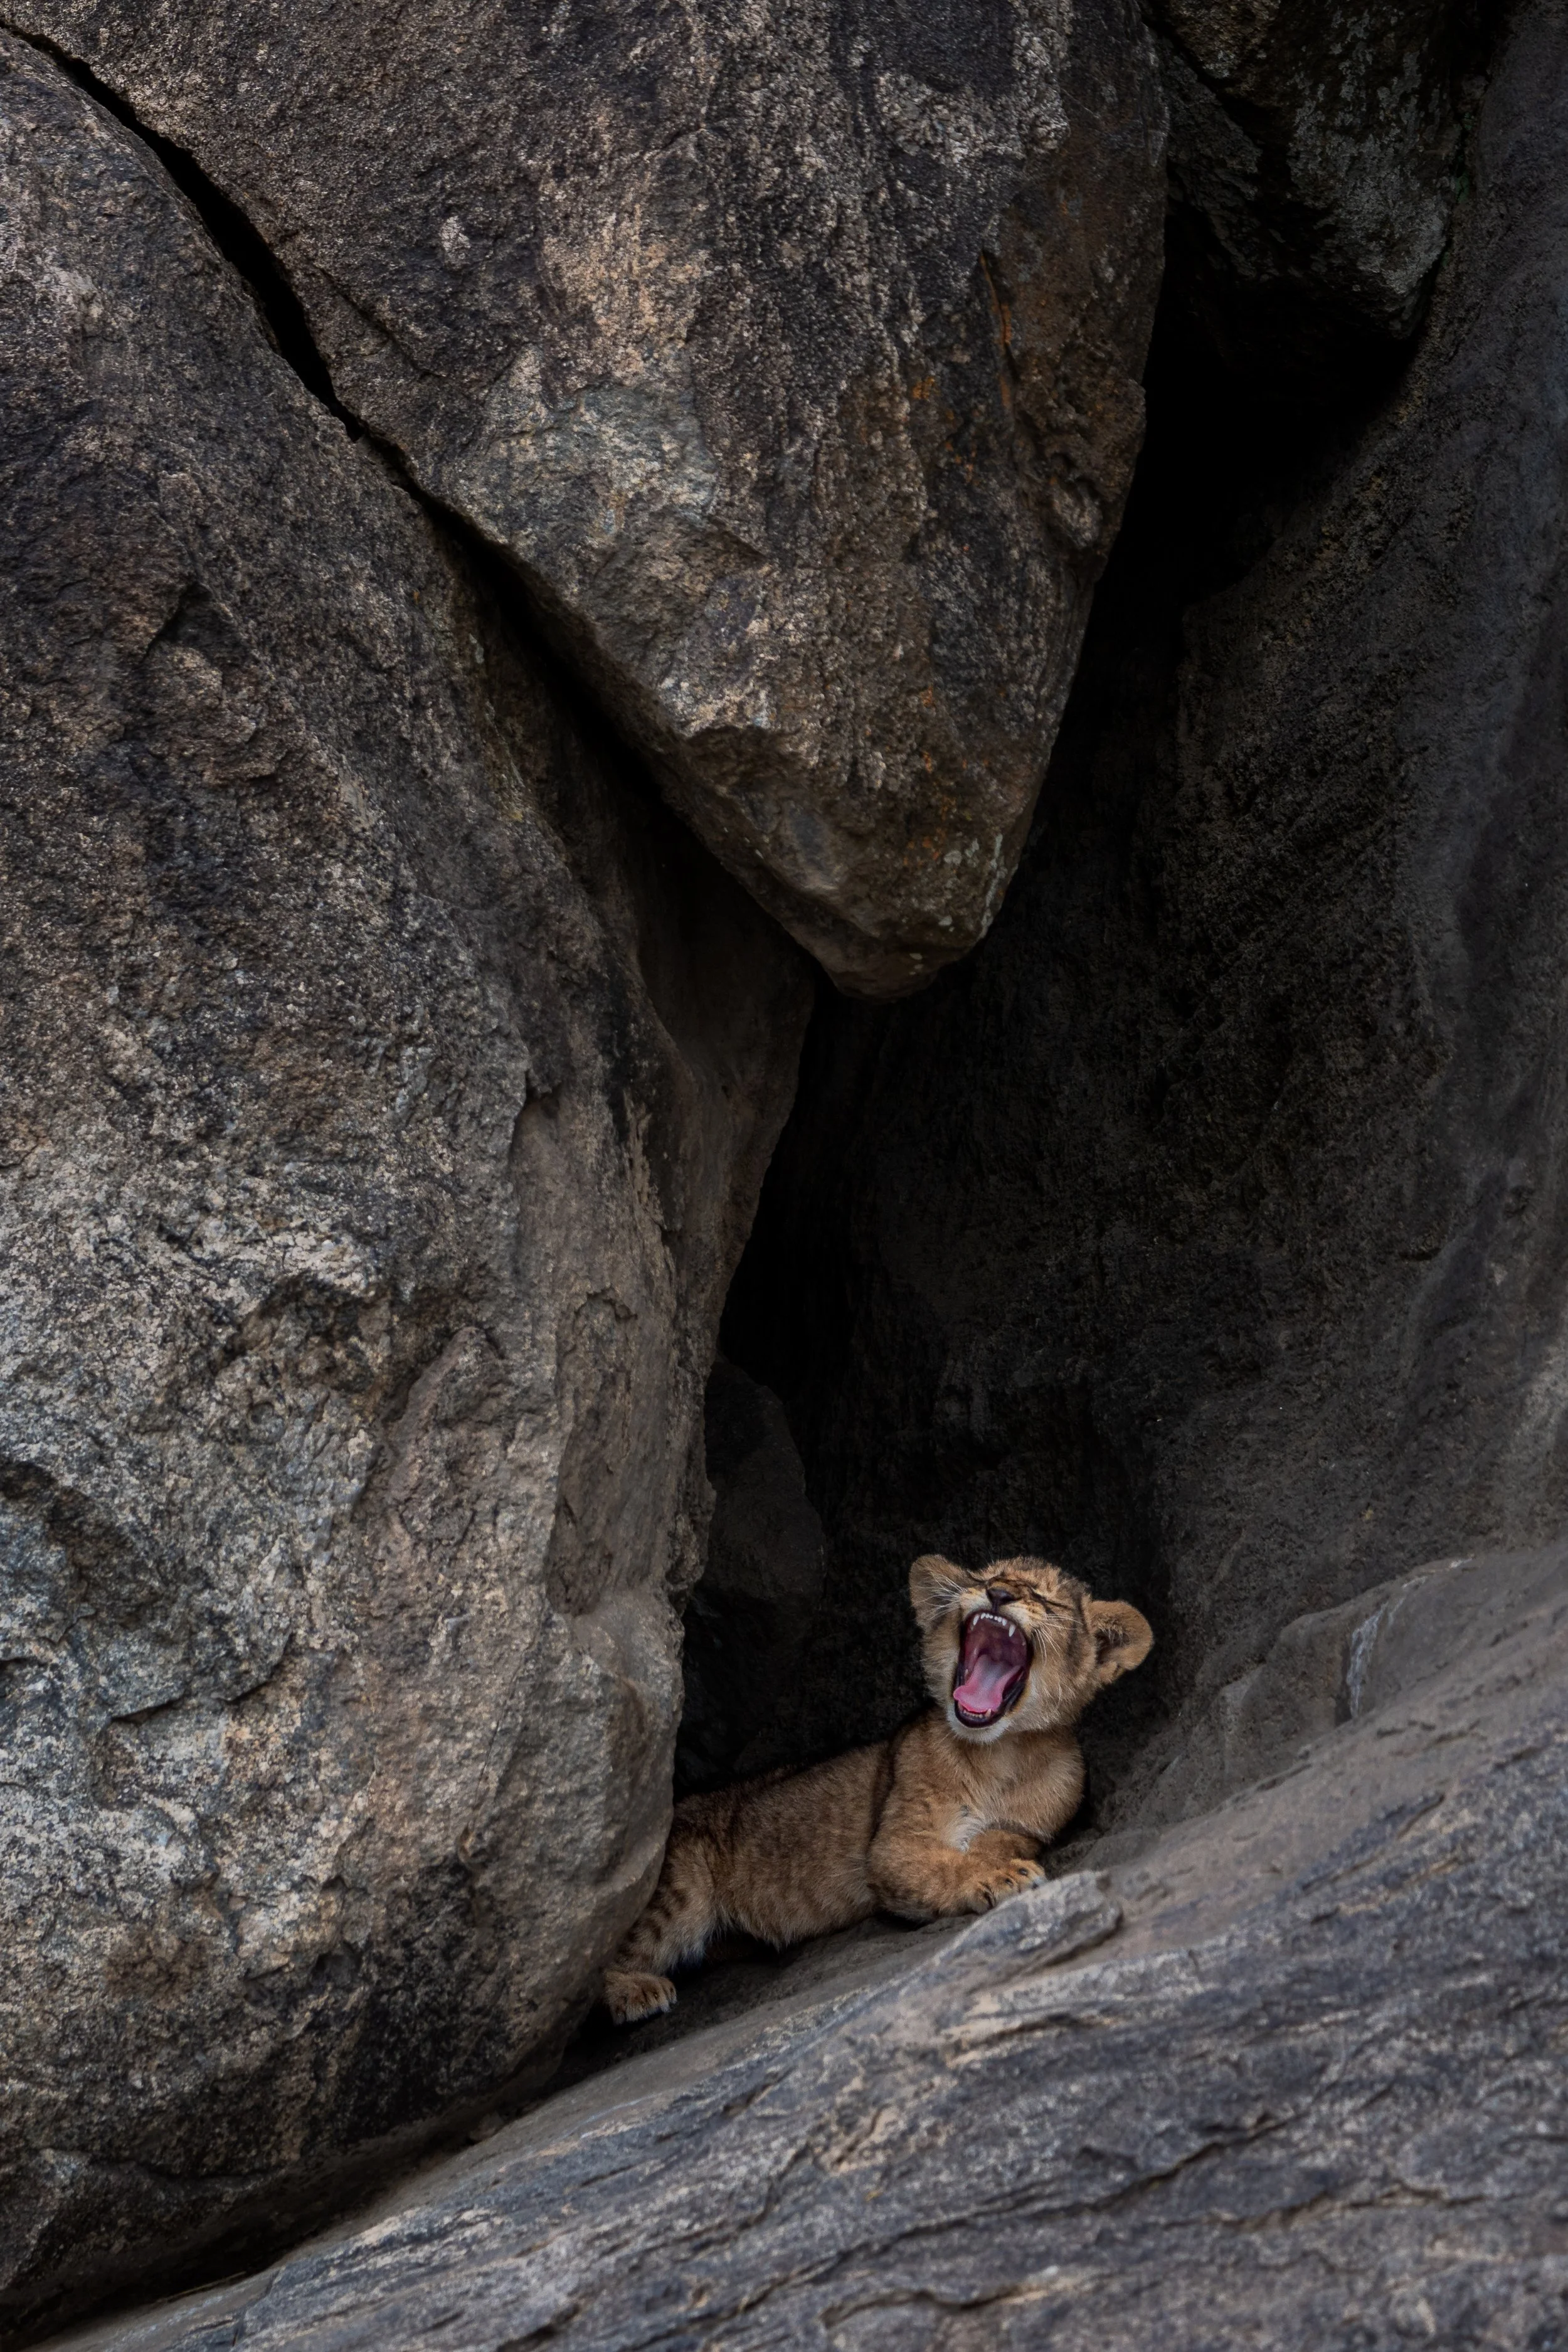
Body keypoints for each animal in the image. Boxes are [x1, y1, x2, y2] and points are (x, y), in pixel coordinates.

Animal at [603, 1552, 1153, 2023]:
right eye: (985, 1578)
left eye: (1046, 1598)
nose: (997, 1594)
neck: (1001, 1754)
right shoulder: (895, 1841)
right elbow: (941, 1865)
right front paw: (995, 1878)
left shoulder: (1037, 1818)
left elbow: (1002, 1839)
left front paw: (999, 1860)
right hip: (682, 1883)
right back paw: (635, 1990)